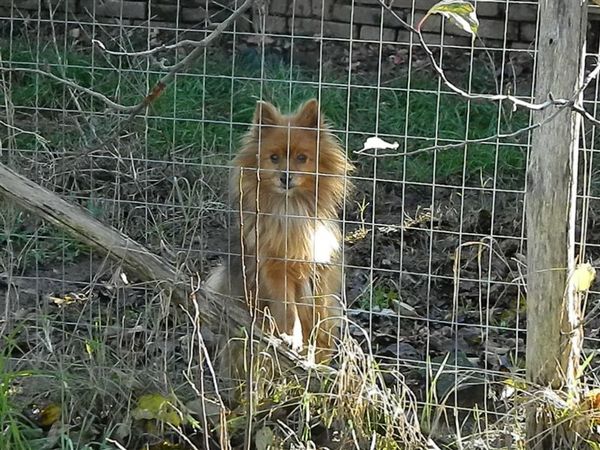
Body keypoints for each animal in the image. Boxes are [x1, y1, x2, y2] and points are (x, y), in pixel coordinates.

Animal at [207, 97, 352, 394]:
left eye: (301, 158)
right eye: (273, 158)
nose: (285, 176)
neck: (290, 209)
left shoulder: (319, 270)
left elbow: (317, 314)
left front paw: (314, 341)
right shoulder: (275, 271)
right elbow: (287, 310)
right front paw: (290, 337)